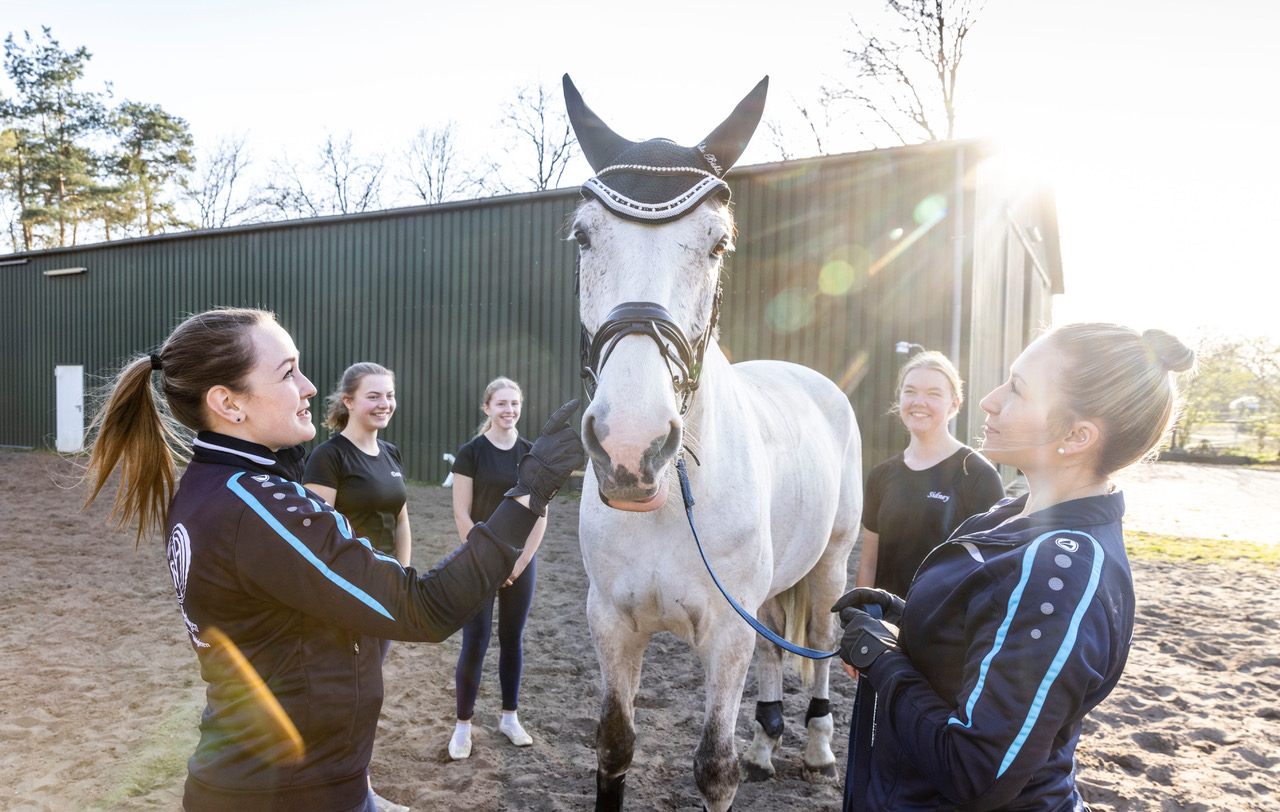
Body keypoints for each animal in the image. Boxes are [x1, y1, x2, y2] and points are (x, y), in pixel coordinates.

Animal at [565, 77, 865, 809]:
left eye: (717, 245)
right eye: (584, 237)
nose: (630, 447)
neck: (675, 497)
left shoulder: (726, 632)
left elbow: (713, 768)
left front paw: (747, 758)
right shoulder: (612, 623)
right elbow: (614, 747)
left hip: (831, 565)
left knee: (820, 640)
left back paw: (816, 749)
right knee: (775, 648)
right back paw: (766, 744)